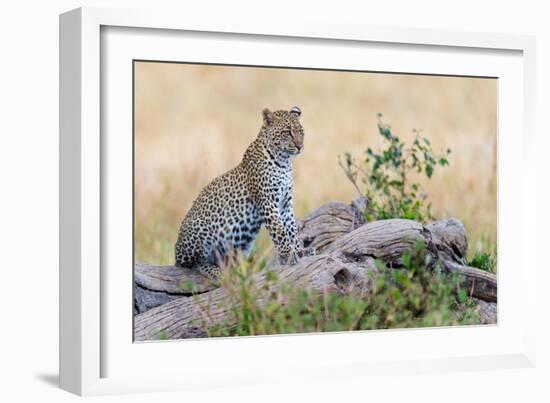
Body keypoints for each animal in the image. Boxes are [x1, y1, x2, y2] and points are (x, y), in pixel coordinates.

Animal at [175, 105, 306, 280]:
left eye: (301, 132)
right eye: (287, 132)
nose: (300, 146)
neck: (284, 162)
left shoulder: (285, 204)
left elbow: (291, 229)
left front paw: (300, 250)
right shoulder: (268, 202)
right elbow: (279, 231)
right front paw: (288, 255)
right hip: (201, 230)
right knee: (192, 264)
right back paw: (215, 272)